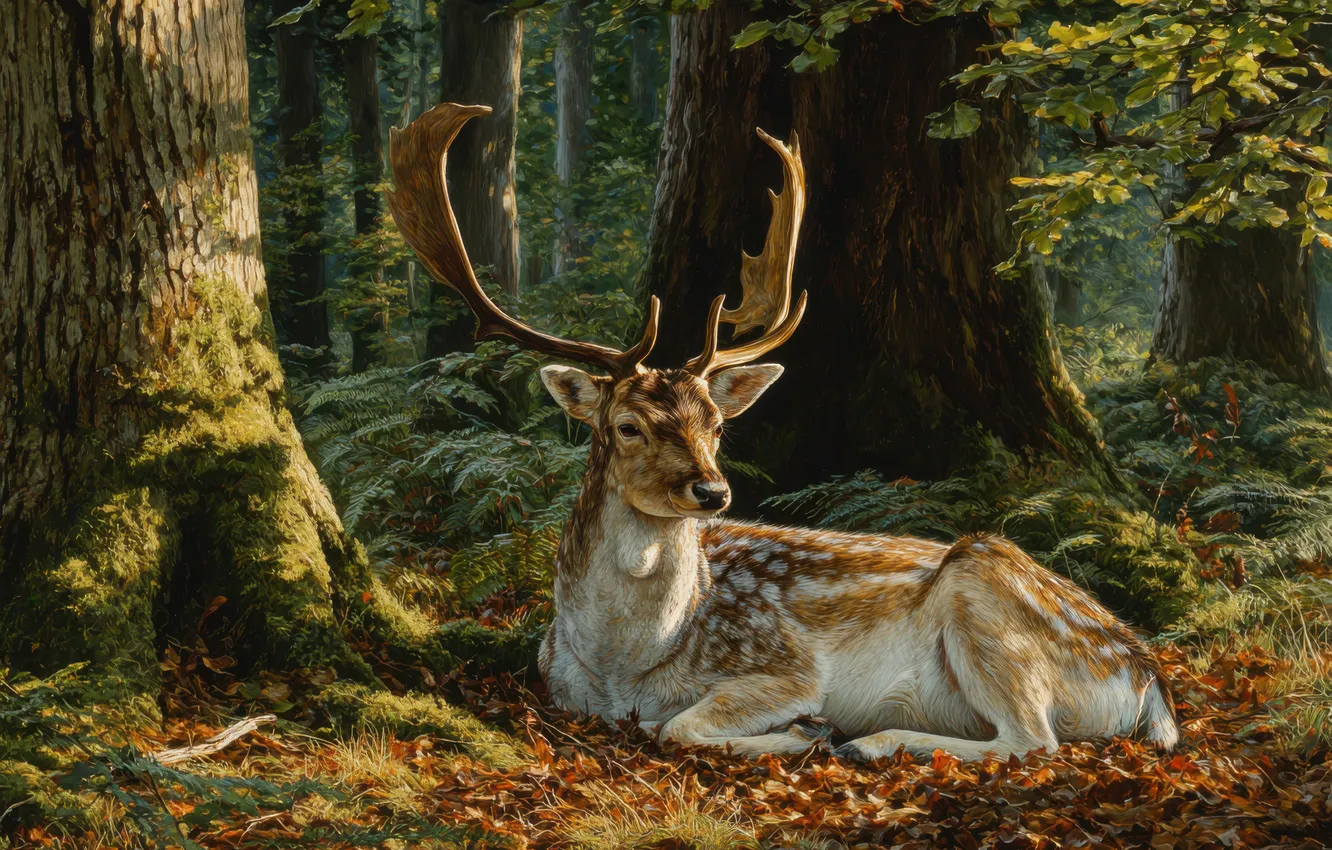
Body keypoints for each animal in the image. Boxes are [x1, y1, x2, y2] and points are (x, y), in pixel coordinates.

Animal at [387, 102, 1180, 763]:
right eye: (628, 426)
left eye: (716, 423)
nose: (711, 492)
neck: (623, 664)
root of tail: (1146, 677)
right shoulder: (556, 683)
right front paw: (802, 734)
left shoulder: (782, 665)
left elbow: (678, 726)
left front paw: (807, 730)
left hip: (985, 596)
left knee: (1034, 739)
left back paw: (869, 740)